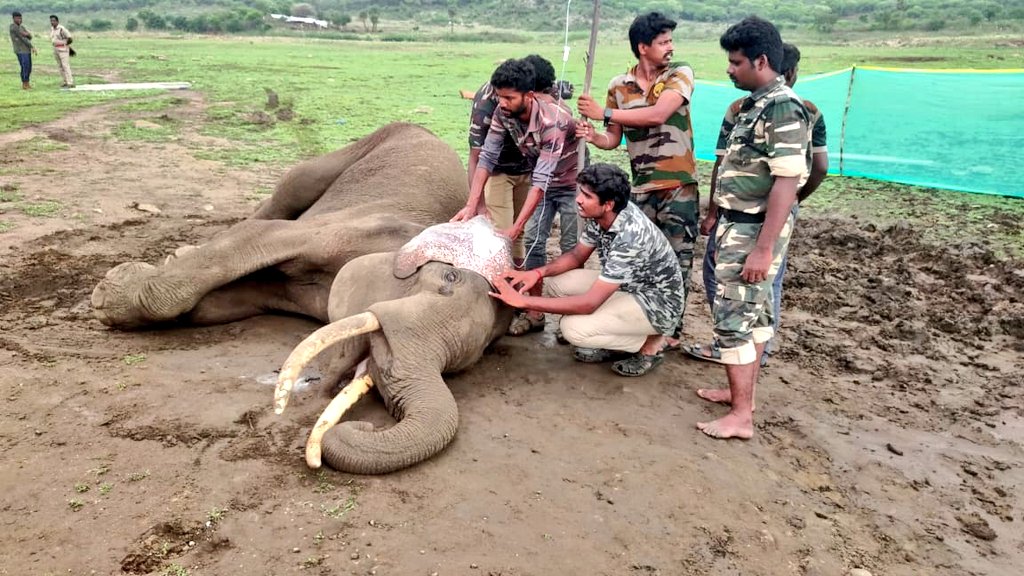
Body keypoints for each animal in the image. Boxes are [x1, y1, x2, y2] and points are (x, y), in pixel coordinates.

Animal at [90, 120, 512, 471]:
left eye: (468, 359)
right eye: (448, 278)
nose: (362, 426)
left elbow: (230, 300)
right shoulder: (357, 228)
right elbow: (261, 237)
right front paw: (106, 297)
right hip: (356, 150)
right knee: (281, 199)